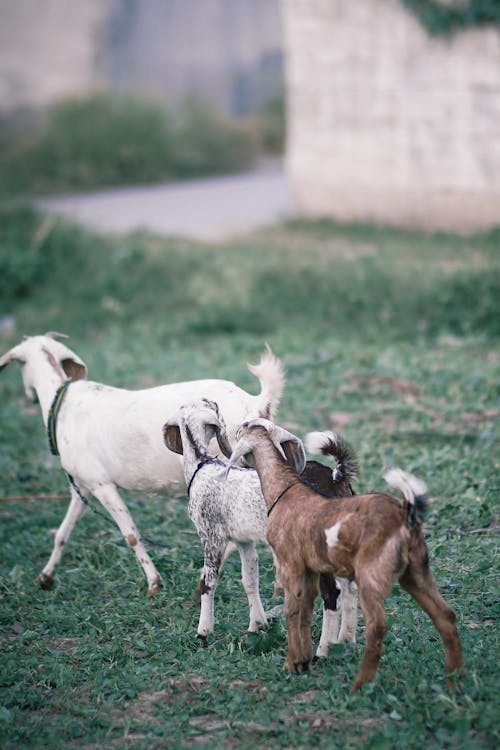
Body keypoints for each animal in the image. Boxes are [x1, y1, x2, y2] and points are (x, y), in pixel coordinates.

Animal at [0, 334, 284, 600]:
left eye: (21, 364)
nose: (28, 395)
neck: (63, 405)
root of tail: (253, 402)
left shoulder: (101, 483)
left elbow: (131, 535)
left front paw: (154, 583)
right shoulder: (83, 484)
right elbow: (63, 531)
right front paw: (45, 576)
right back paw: (279, 586)